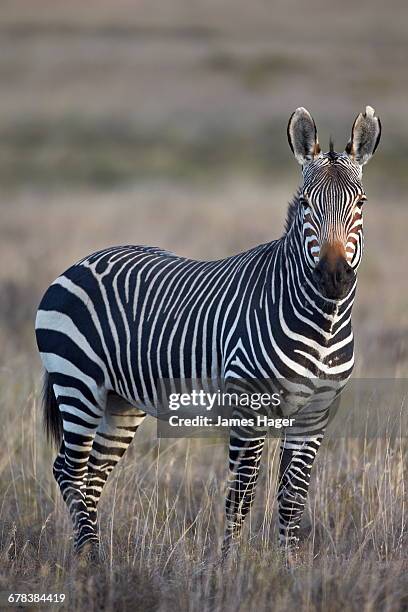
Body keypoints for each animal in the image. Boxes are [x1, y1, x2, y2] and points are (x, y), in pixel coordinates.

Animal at [35, 105, 382, 560]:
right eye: (307, 204)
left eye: (360, 203)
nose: (334, 277)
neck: (322, 322)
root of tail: (80, 262)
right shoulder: (250, 408)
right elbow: (242, 493)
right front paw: (229, 565)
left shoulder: (314, 416)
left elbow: (292, 498)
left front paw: (289, 567)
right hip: (78, 383)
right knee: (70, 470)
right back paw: (89, 557)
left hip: (119, 400)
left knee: (92, 475)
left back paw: (92, 553)